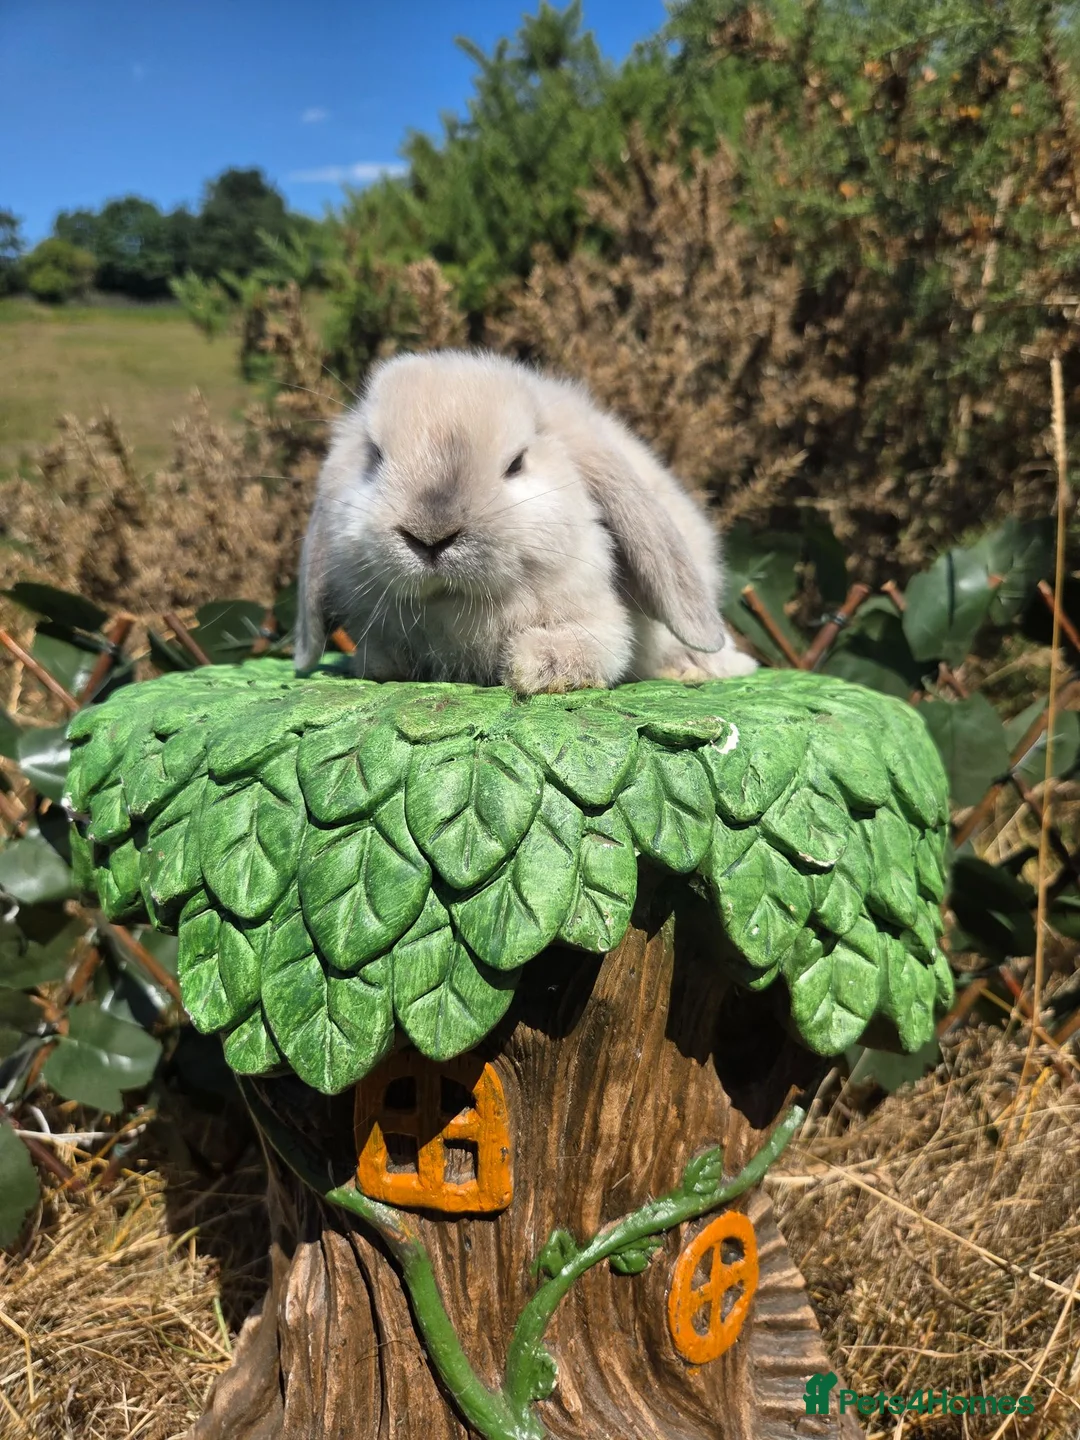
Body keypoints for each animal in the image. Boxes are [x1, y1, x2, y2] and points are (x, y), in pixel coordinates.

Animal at [294, 350, 757, 694]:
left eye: (516, 463)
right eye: (373, 456)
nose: (430, 536)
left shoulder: (605, 626)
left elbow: (601, 648)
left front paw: (536, 665)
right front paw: (382, 662)